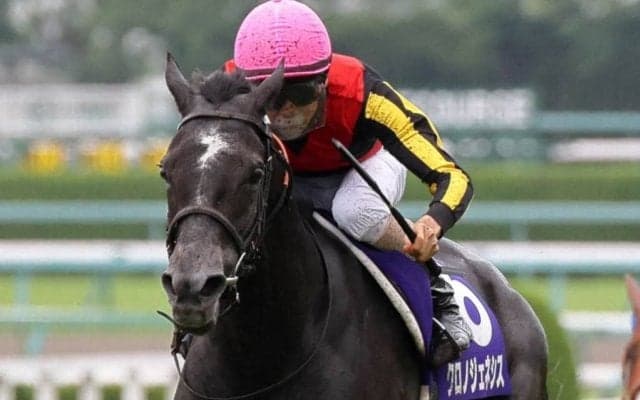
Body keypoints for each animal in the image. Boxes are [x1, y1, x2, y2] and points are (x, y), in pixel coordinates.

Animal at [159, 53, 548, 399]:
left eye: (255, 174)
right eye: (165, 170)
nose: (193, 287)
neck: (265, 357)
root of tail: (509, 293)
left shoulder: (372, 98)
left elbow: (442, 167)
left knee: (363, 212)